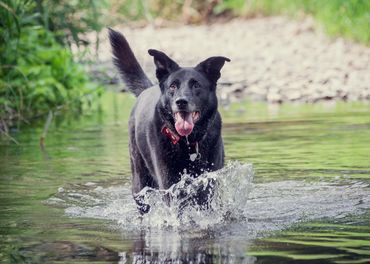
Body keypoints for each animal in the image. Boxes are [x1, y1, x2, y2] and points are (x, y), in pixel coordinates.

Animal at [107, 29, 228, 213]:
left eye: (196, 85)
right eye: (173, 86)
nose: (181, 101)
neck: (188, 143)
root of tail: (148, 88)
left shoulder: (209, 181)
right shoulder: (169, 182)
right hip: (139, 180)